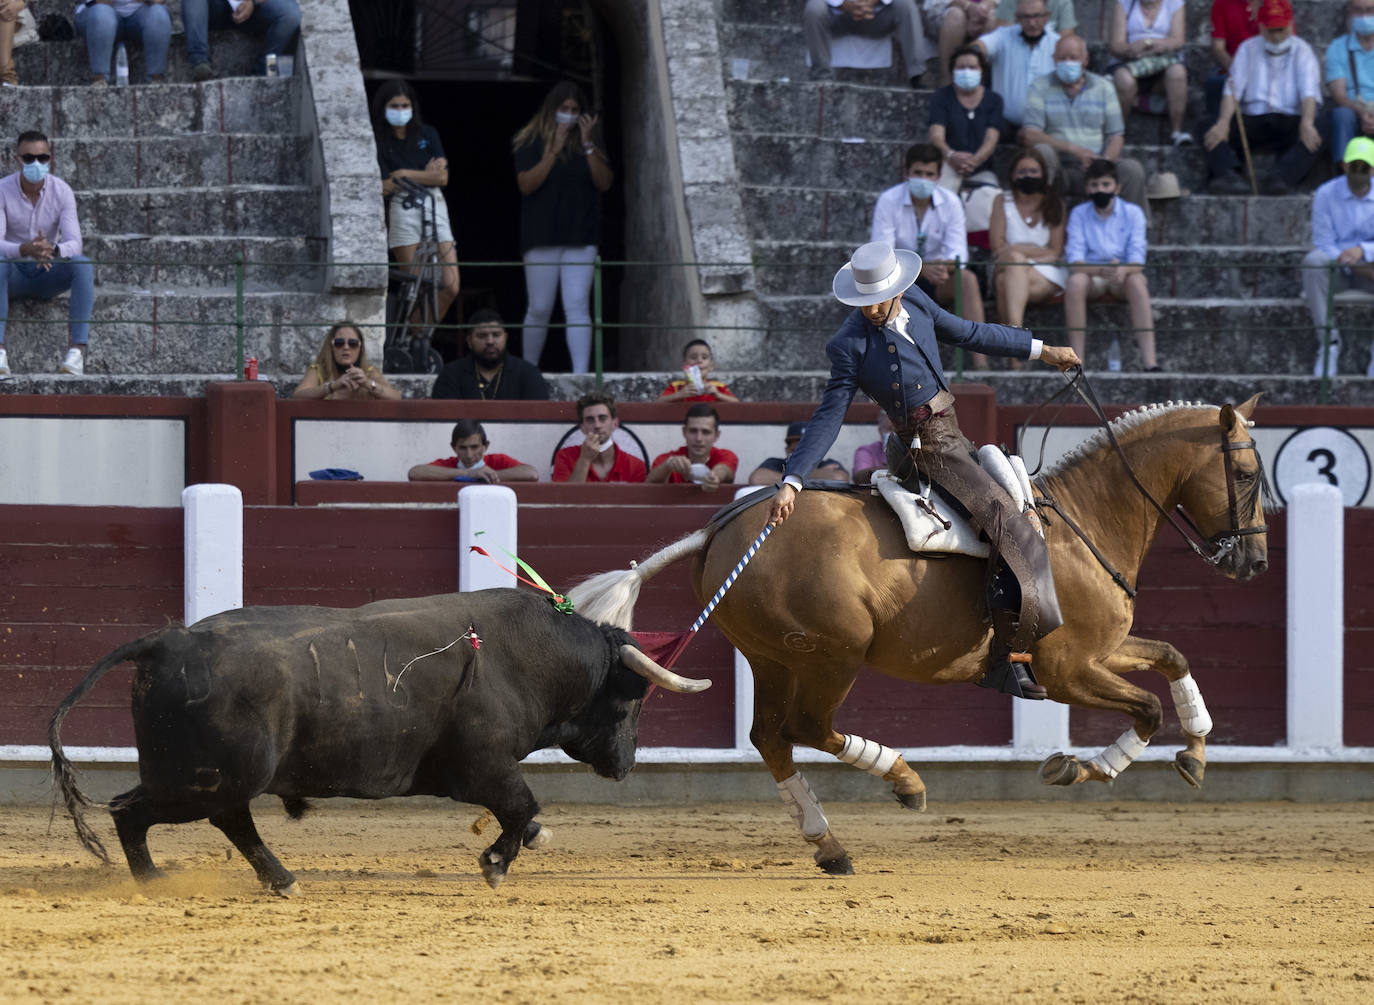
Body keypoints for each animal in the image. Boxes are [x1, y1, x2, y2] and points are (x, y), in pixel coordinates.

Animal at [45, 593, 708, 890]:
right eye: (631, 699)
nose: (626, 764)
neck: (528, 658)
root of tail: (166, 641)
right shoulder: (486, 768)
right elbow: (523, 806)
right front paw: (495, 865)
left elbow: (525, 814)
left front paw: (521, 847)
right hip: (204, 778)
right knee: (137, 811)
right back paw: (157, 881)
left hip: (204, 775)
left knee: (224, 819)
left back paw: (277, 879)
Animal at [568, 395, 1264, 874]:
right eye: (1249, 475)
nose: (1253, 562)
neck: (1084, 522)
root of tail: (724, 528)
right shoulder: (1066, 669)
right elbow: (1145, 708)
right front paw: (1077, 767)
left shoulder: (1102, 649)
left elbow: (1172, 657)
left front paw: (1194, 752)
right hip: (835, 655)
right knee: (806, 727)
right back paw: (906, 783)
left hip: (771, 658)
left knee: (770, 737)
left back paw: (830, 845)